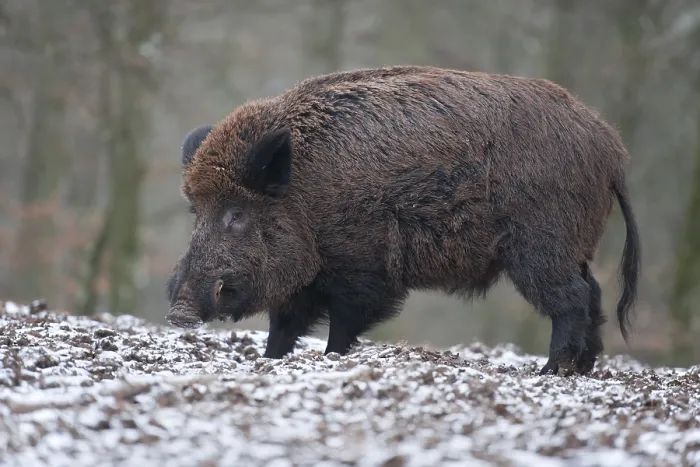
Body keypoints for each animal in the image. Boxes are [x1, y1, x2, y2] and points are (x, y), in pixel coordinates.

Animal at [166, 65, 640, 376]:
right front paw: (269, 362)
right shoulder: (307, 278)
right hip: (574, 246)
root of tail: (612, 149)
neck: (304, 195)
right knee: (594, 294)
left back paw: (552, 371)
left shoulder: (362, 266)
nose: (178, 312)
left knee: (573, 298)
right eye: (196, 211)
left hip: (541, 245)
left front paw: (331, 360)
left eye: (237, 214)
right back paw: (581, 369)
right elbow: (283, 326)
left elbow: (343, 323)